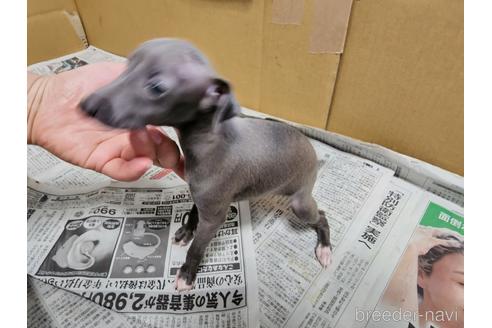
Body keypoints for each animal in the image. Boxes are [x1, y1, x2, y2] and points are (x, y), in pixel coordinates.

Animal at [80, 38, 330, 292]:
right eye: (127, 66)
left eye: (157, 87)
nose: (86, 105)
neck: (208, 143)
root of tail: (312, 152)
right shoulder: (200, 196)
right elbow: (193, 212)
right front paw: (186, 232)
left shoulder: (214, 218)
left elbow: (197, 248)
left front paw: (186, 273)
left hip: (300, 203)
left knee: (321, 215)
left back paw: (325, 248)